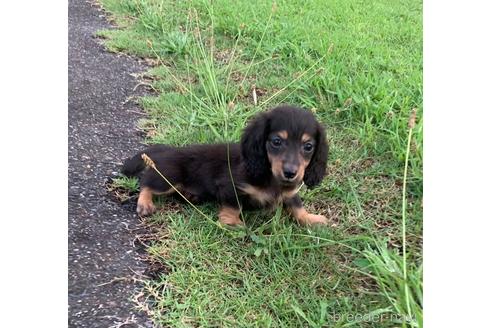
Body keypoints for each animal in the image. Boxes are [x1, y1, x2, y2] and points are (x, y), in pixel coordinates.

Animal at [122, 105, 328, 226]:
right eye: (276, 141)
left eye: (308, 146)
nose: (290, 173)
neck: (270, 175)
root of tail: (168, 149)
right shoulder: (230, 186)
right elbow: (233, 207)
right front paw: (233, 223)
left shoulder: (290, 192)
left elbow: (297, 205)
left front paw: (310, 218)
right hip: (168, 178)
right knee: (147, 183)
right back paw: (145, 203)